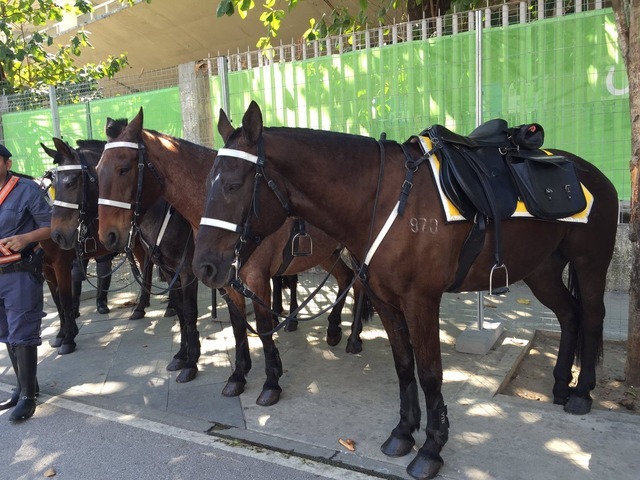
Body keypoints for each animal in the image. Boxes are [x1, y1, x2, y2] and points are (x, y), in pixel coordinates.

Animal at [43, 135, 202, 382]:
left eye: (70, 182)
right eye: (53, 185)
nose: (58, 235)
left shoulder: (185, 271)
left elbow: (189, 312)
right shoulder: (170, 270)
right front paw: (181, 356)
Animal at [94, 108, 370, 404]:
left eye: (124, 168)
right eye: (97, 171)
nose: (108, 235)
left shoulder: (248, 279)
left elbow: (252, 325)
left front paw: (269, 382)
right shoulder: (213, 279)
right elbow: (231, 326)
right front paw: (235, 374)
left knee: (359, 283)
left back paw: (354, 338)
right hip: (325, 253)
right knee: (346, 278)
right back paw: (333, 330)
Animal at [191, 99, 620, 478]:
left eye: (233, 185)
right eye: (207, 182)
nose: (205, 265)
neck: (384, 201)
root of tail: (594, 175)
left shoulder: (421, 302)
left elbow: (429, 373)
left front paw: (431, 449)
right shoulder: (385, 301)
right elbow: (403, 366)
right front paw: (402, 434)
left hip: (590, 265)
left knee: (591, 315)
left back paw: (582, 393)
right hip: (542, 270)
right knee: (569, 314)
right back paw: (561, 386)